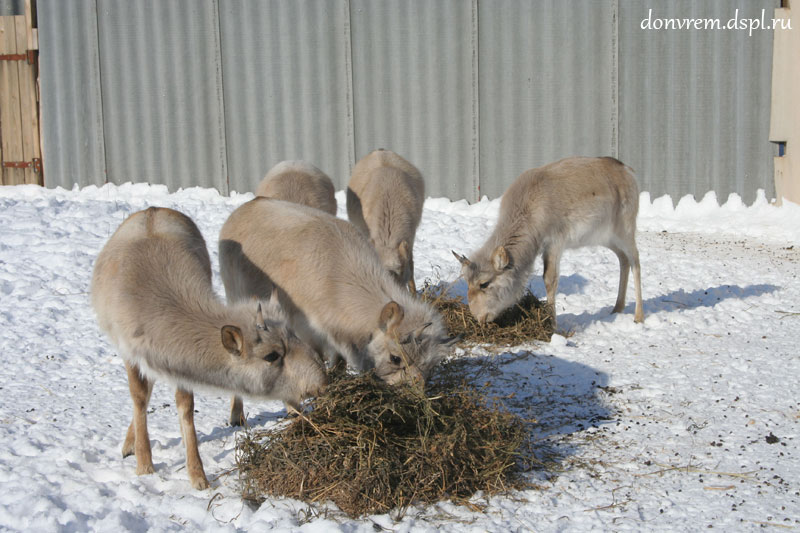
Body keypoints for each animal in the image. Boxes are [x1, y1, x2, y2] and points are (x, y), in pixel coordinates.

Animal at [90, 206, 322, 488]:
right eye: (271, 355)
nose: (321, 379)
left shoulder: (174, 361)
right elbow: (139, 397)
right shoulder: (129, 352)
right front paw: (145, 464)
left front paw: (197, 473)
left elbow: (185, 407)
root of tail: (153, 208)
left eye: (294, 335)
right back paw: (130, 445)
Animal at [219, 195, 456, 400]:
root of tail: (246, 207)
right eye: (395, 358)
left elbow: (339, 362)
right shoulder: (304, 328)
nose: (414, 394)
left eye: (429, 367)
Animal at [454, 154, 648, 328]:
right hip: (606, 237)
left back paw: (638, 316)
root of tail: (629, 171)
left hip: (625, 228)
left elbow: (550, 279)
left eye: (484, 283)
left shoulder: (555, 241)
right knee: (623, 259)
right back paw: (617, 307)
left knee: (636, 260)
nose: (478, 317)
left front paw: (552, 324)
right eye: (466, 282)